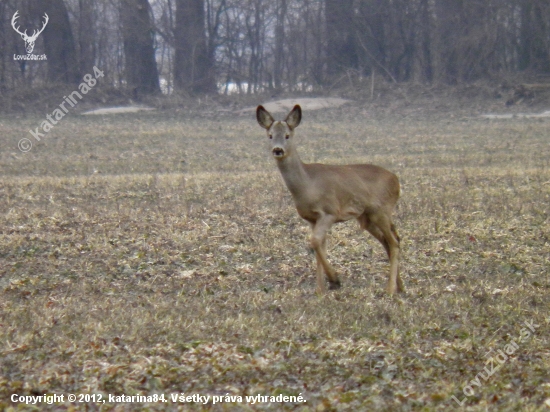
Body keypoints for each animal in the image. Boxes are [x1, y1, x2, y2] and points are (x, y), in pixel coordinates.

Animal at [256, 104, 406, 294]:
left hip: (381, 210)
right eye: (270, 135)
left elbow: (314, 241)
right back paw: (400, 286)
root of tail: (396, 181)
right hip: (367, 217)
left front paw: (334, 279)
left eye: (287, 135)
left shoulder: (330, 212)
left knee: (393, 243)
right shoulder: (311, 219)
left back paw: (390, 289)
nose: (277, 150)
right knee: (390, 240)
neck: (308, 185)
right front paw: (321, 290)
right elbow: (319, 246)